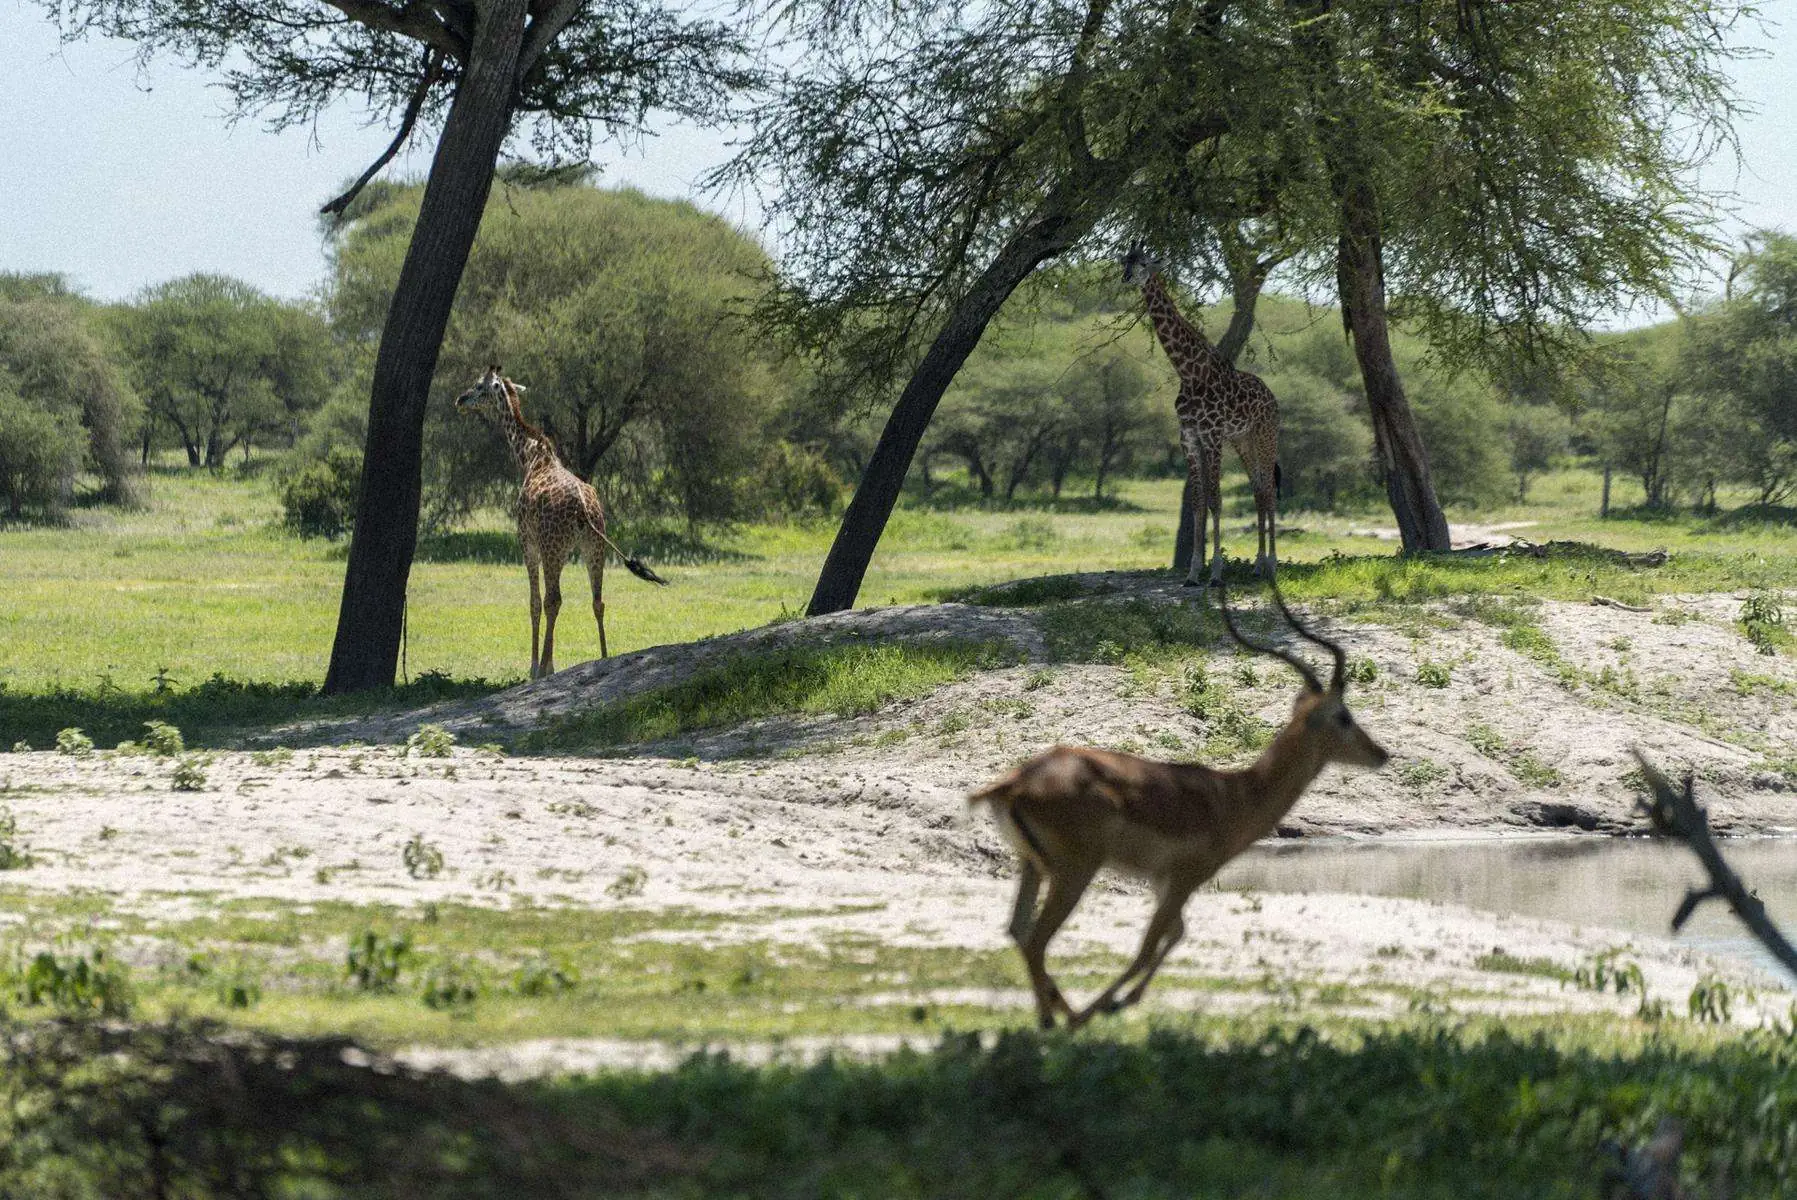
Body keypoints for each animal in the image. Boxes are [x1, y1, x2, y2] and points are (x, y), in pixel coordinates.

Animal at [456, 366, 668, 679]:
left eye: (479, 386)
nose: (460, 400)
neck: (529, 456)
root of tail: (584, 509)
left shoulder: (528, 544)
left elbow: (535, 602)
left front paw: (537, 667)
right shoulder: (564, 552)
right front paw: (549, 663)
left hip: (553, 548)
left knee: (553, 599)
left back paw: (545, 668)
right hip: (593, 548)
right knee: (597, 601)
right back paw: (604, 658)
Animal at [1121, 240, 1279, 589]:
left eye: (1144, 263)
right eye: (1124, 261)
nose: (1126, 278)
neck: (1189, 371)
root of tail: (1273, 398)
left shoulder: (1213, 435)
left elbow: (1215, 500)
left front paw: (1217, 573)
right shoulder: (1189, 437)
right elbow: (1197, 503)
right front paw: (1193, 572)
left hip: (1265, 436)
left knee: (1269, 490)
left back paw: (1273, 564)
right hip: (1243, 440)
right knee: (1258, 489)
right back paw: (1258, 565)